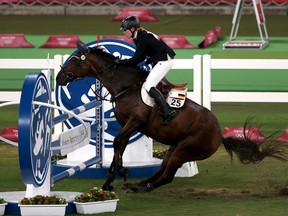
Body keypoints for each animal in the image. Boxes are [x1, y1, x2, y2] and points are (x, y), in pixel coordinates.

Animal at [55, 42, 288, 192]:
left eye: (74, 60)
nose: (58, 78)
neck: (125, 86)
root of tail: (219, 134)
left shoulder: (135, 122)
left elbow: (118, 142)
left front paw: (121, 172)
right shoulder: (127, 124)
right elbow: (119, 145)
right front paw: (110, 180)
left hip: (185, 150)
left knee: (167, 176)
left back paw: (142, 187)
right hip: (174, 148)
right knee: (162, 170)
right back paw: (139, 184)